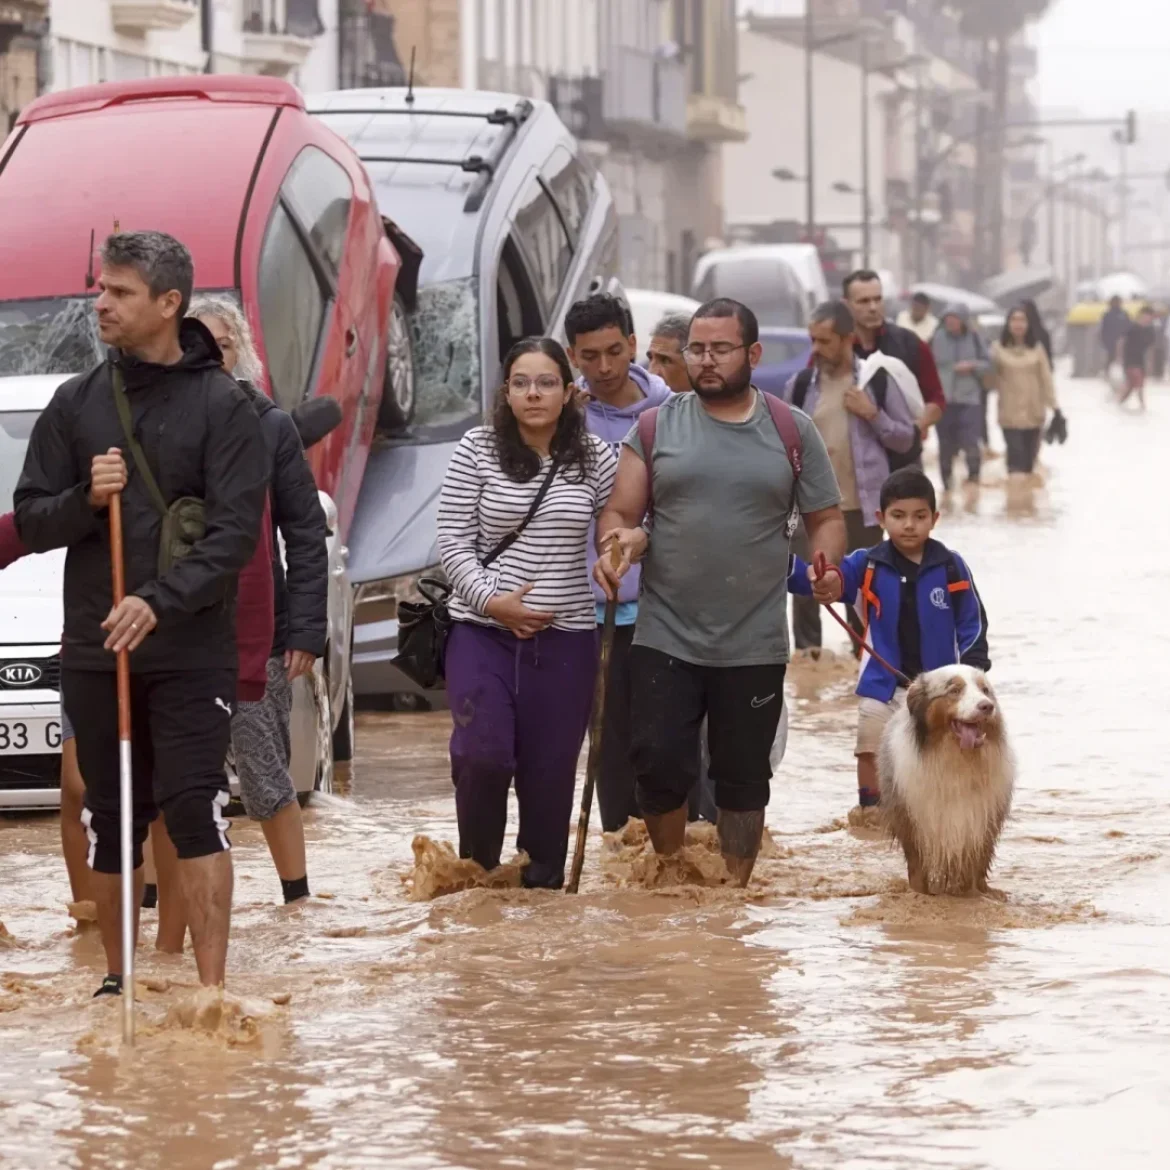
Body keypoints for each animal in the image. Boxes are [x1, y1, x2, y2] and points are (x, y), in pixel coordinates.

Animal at [879, 669, 1015, 893]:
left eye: (985, 690)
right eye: (954, 690)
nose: (987, 706)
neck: (959, 759)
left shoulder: (981, 824)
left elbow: (975, 867)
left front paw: (974, 894)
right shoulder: (912, 822)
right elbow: (917, 868)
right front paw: (920, 893)